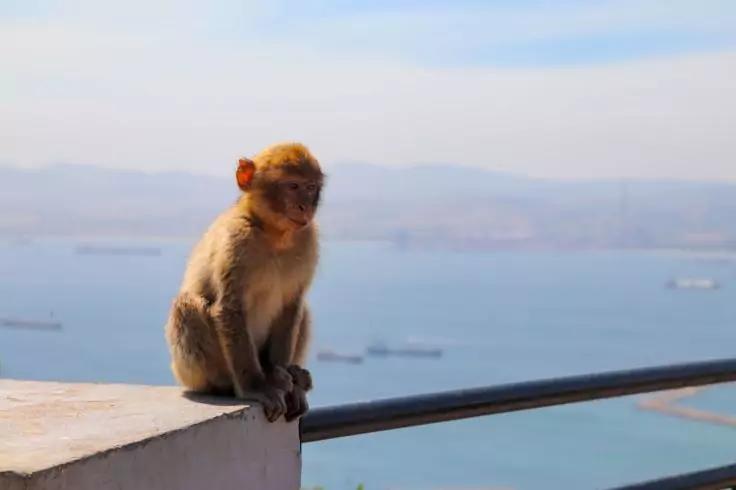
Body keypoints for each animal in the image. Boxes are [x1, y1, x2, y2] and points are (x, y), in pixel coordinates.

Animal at [164, 142, 323, 422]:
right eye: (292, 186)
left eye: (310, 187)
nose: (305, 206)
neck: (275, 234)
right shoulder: (237, 241)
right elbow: (230, 308)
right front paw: (256, 387)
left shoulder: (307, 238)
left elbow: (292, 306)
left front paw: (282, 378)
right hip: (190, 372)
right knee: (185, 305)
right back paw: (231, 385)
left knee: (303, 310)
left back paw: (290, 377)